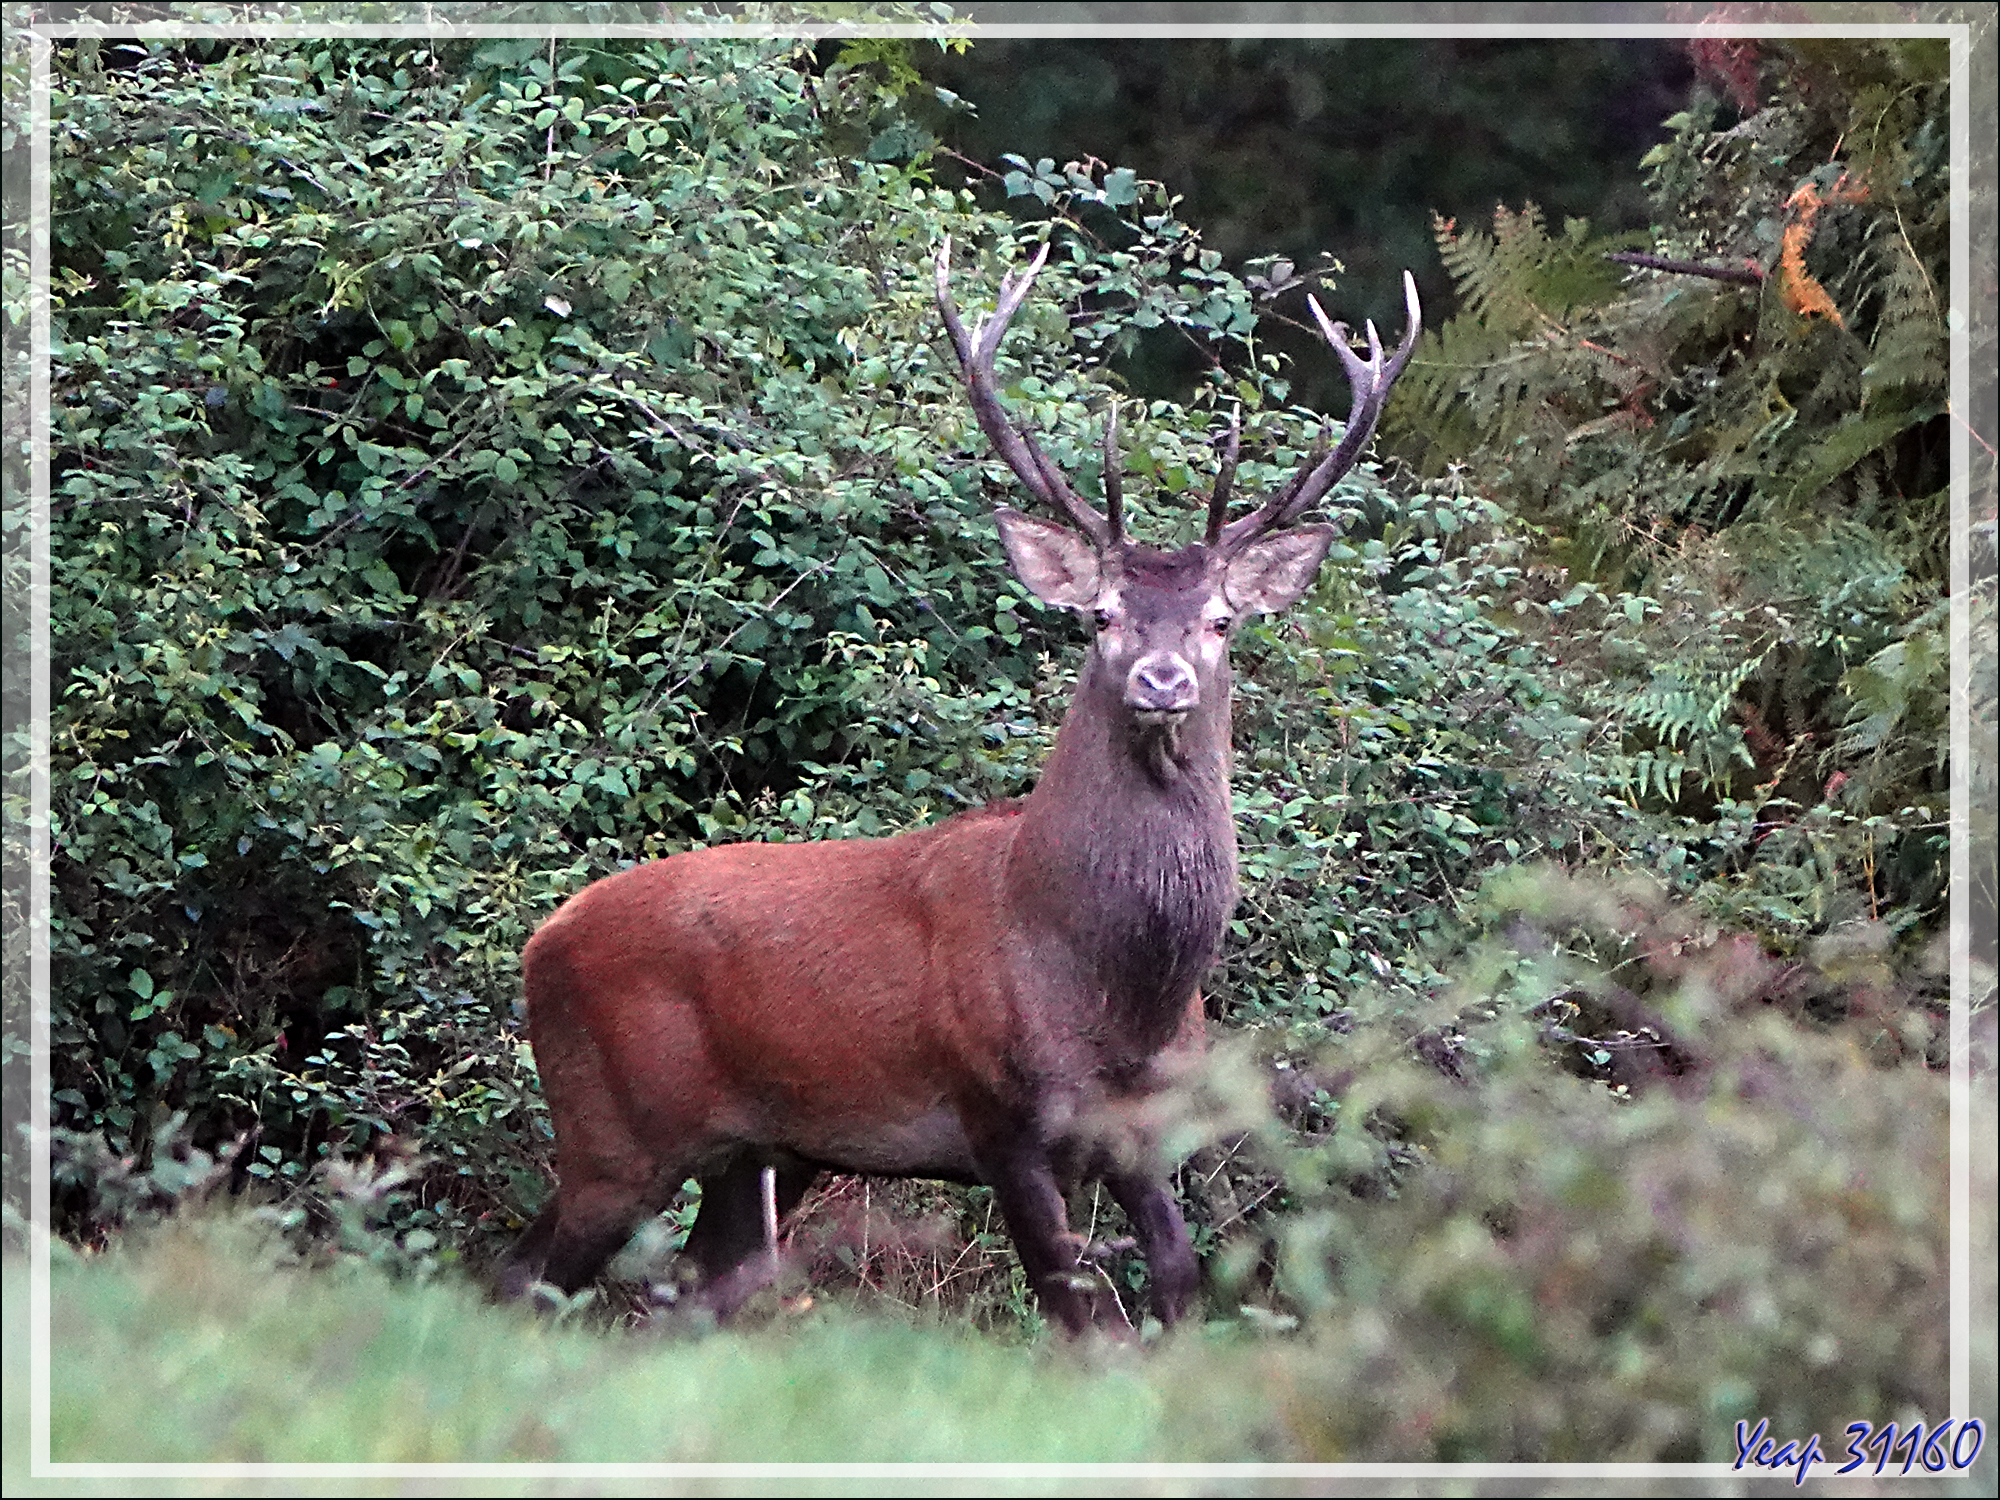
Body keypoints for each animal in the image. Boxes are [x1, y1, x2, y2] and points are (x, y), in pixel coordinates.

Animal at [499, 238, 1420, 1334]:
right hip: (611, 1123)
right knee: (519, 1274)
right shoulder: (999, 1120)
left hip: (766, 1147)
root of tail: (541, 940)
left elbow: (1179, 1285)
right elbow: (1080, 1317)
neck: (1102, 983)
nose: (1162, 680)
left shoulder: (1142, 1130)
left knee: (690, 1291)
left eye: (1220, 620)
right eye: (1102, 615)